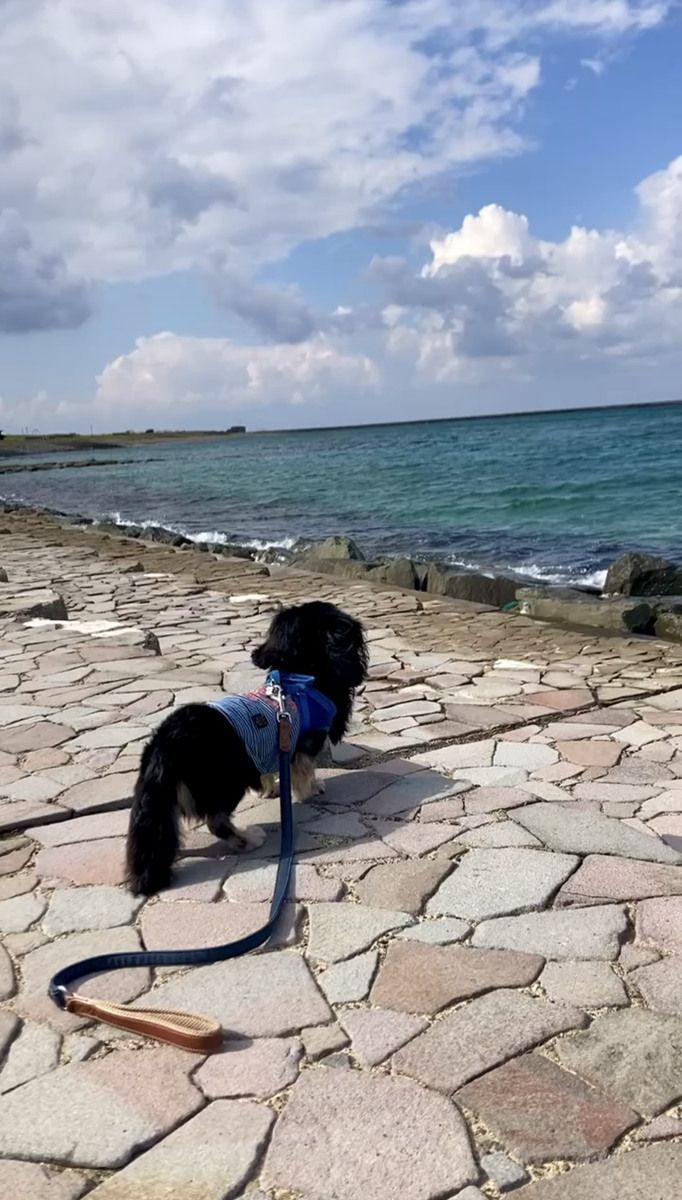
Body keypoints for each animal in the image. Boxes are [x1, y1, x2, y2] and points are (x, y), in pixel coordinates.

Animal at [125, 600, 368, 895]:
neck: (297, 676)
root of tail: (165, 744)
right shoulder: (304, 744)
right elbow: (305, 771)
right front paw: (311, 789)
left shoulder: (268, 748)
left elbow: (268, 772)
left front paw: (272, 789)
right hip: (226, 783)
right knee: (216, 821)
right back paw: (249, 838)